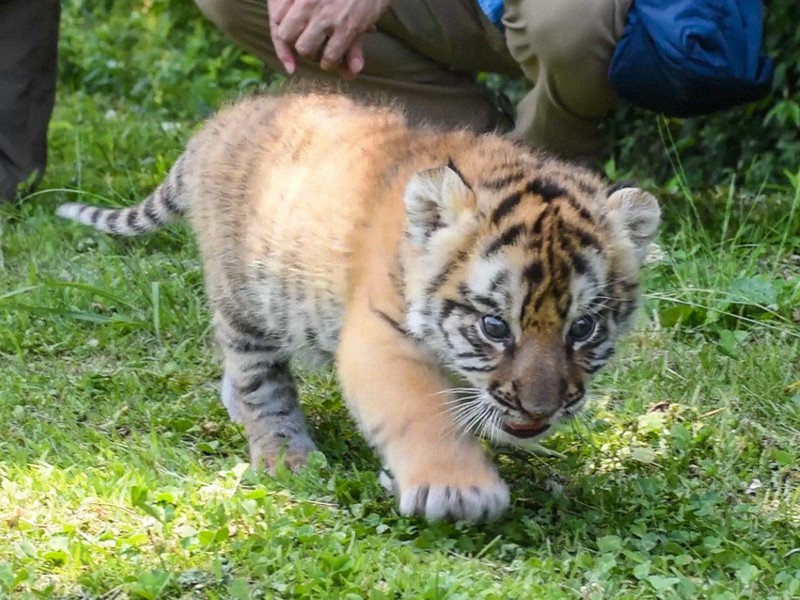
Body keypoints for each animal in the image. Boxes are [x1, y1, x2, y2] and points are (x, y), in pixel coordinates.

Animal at [57, 92, 660, 522]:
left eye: (582, 328)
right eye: (494, 326)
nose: (541, 410)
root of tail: (220, 123)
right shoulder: (382, 335)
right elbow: (420, 410)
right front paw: (456, 488)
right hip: (246, 299)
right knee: (258, 380)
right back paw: (286, 455)